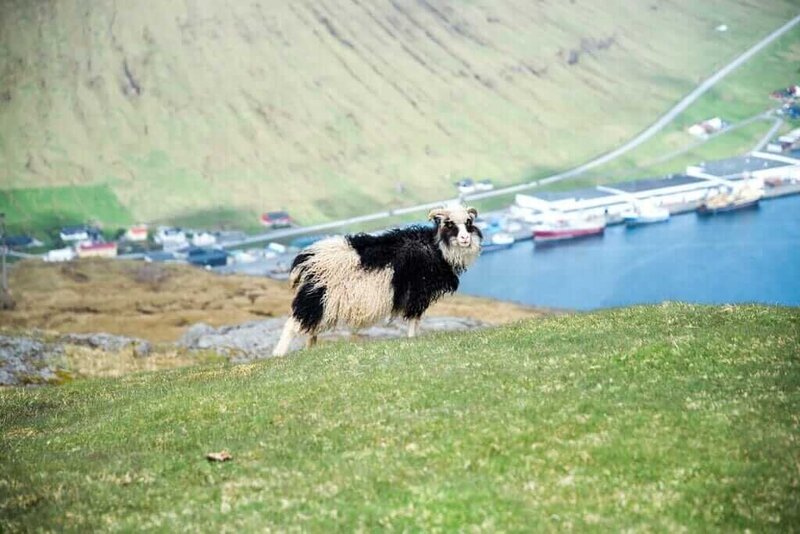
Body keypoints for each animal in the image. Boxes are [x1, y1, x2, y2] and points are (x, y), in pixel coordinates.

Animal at [274, 205, 482, 356]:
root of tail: (307, 258)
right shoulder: (417, 292)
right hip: (316, 298)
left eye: (469, 222)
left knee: (310, 328)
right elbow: (414, 319)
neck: (436, 247)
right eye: (449, 223)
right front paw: (412, 339)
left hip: (323, 304)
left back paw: (310, 350)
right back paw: (279, 354)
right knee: (292, 325)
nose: (465, 238)